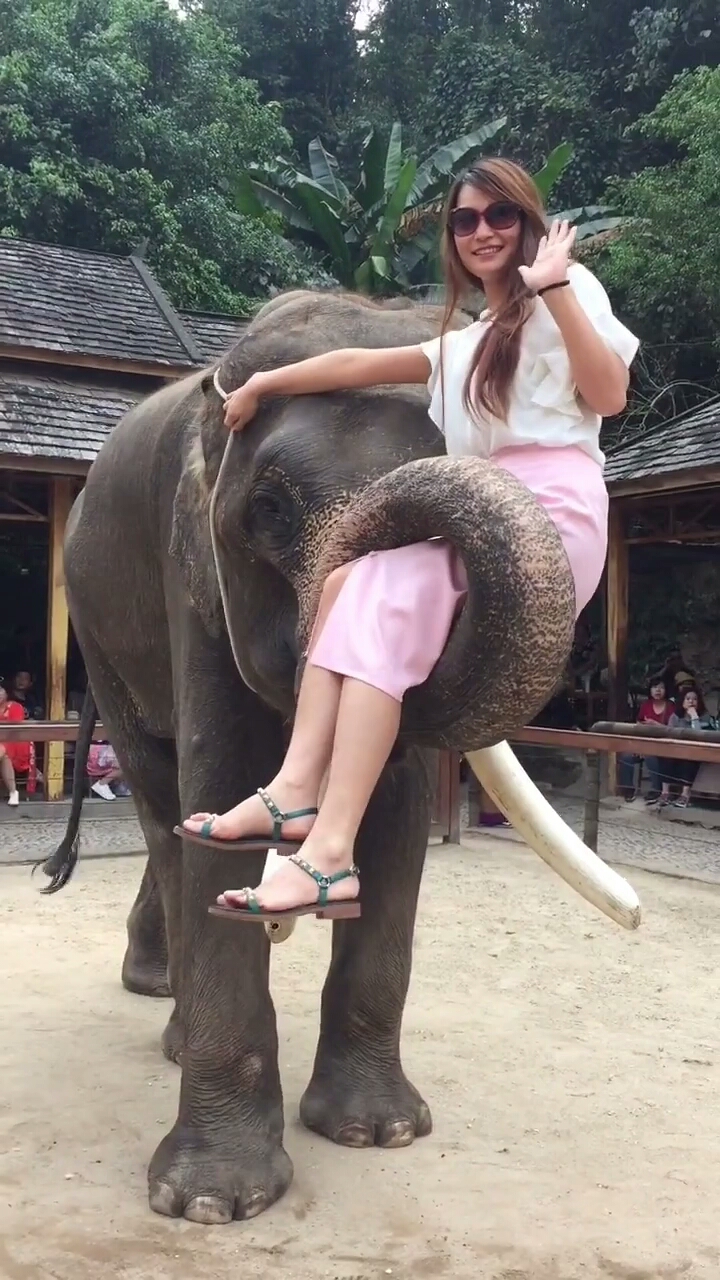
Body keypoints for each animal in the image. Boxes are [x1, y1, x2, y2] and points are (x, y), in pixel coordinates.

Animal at [41, 288, 639, 1225]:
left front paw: (377, 1134)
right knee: (161, 800)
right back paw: (174, 1015)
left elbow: (396, 815)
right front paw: (211, 1204)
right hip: (102, 629)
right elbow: (218, 780)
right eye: (272, 512)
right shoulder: (193, 577)